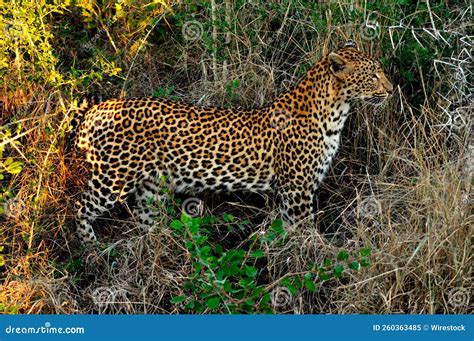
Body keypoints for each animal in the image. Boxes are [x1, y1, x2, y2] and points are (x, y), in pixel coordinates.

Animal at [71, 40, 392, 242]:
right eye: (374, 75)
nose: (391, 89)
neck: (336, 112)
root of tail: (99, 109)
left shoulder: (291, 192)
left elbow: (290, 229)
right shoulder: (297, 188)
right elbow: (306, 229)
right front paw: (318, 257)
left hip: (152, 184)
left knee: (144, 217)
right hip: (113, 178)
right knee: (80, 209)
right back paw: (93, 248)